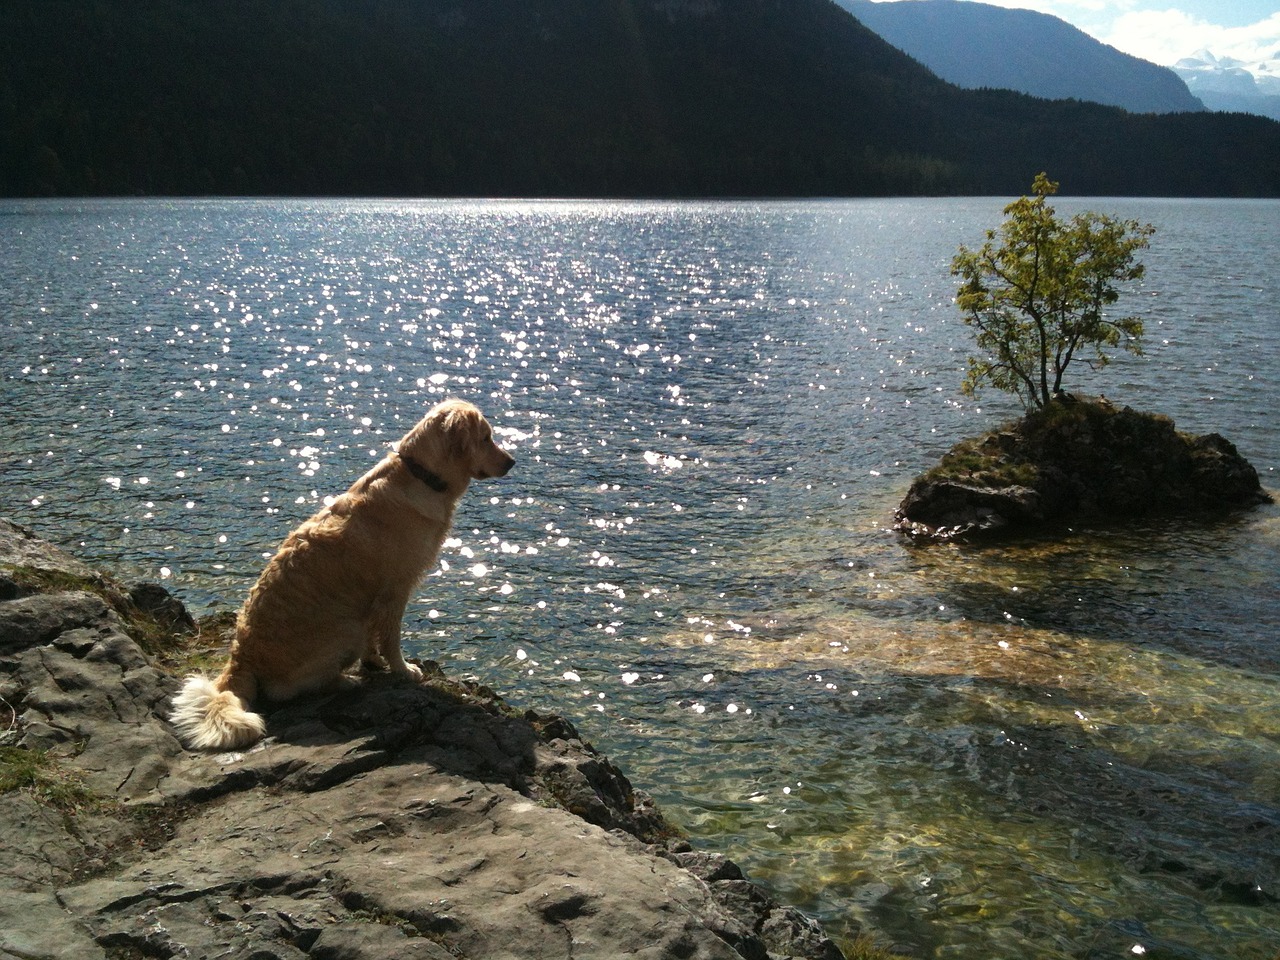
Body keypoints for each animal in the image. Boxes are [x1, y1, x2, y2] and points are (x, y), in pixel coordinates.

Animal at [170, 399, 514, 752]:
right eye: (485, 438)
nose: (512, 462)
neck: (420, 476)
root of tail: (241, 658)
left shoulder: (376, 598)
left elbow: (376, 638)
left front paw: (375, 662)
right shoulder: (396, 588)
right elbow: (391, 637)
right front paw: (404, 670)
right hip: (347, 628)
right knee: (287, 690)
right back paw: (344, 681)